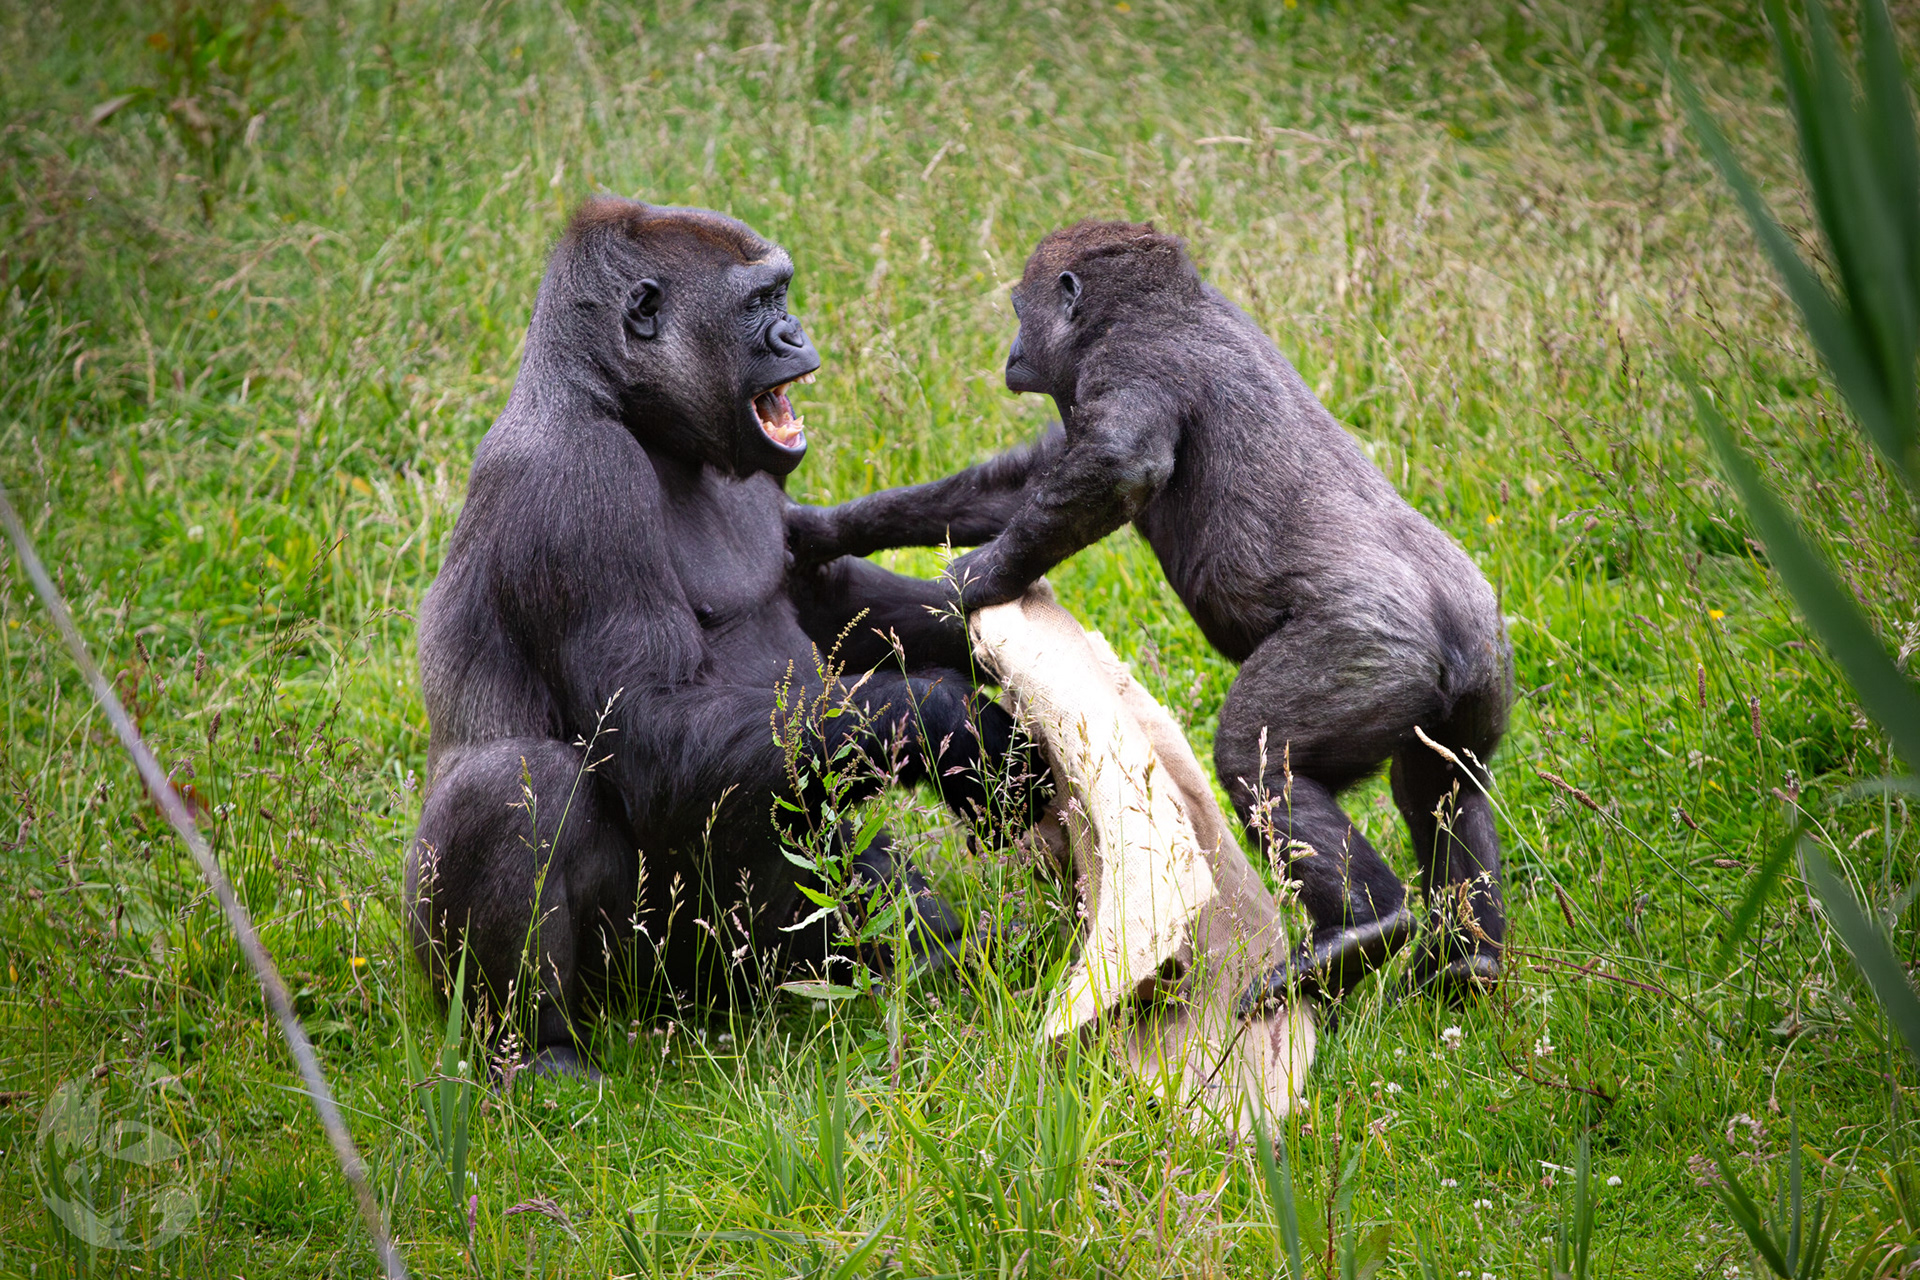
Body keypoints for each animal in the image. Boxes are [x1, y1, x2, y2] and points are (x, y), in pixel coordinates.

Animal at [406, 199, 1044, 1076]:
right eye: (759, 303)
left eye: (782, 293)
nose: (795, 331)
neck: (611, 400)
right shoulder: (576, 478)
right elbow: (647, 726)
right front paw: (959, 724)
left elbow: (828, 604)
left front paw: (971, 623)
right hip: (578, 977)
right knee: (515, 780)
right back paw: (535, 1049)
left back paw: (958, 954)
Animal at [787, 220, 1511, 1005]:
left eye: (1019, 309)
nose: (1012, 351)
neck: (1160, 308)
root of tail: (1460, 626)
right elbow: (1022, 483)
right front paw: (824, 529)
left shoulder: (1123, 362)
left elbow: (1114, 466)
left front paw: (973, 580)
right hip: (1480, 676)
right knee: (1444, 789)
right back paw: (1466, 963)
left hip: (1368, 652)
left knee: (1260, 764)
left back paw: (1359, 931)